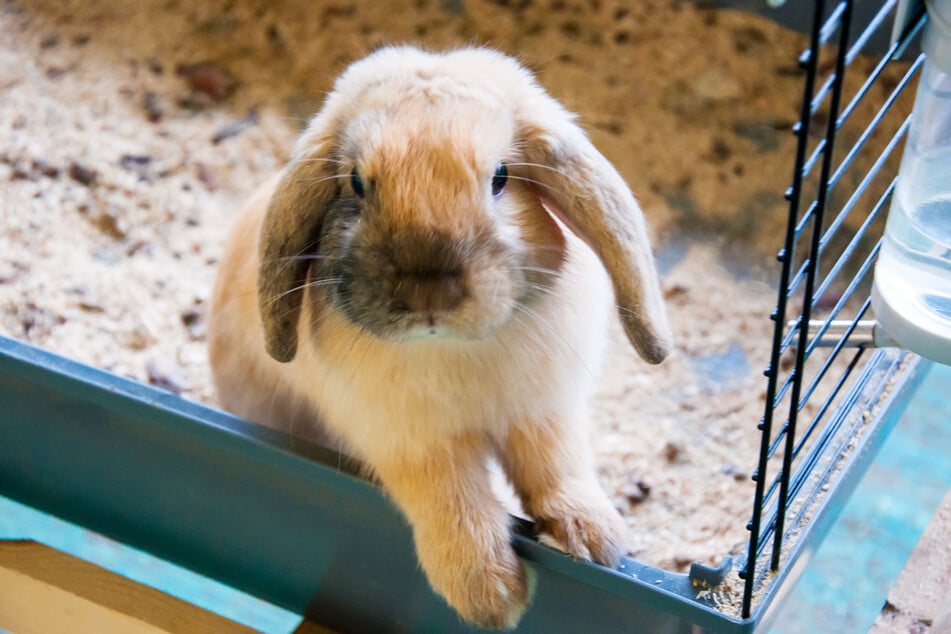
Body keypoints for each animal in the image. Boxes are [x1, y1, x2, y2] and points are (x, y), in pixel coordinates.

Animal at [210, 45, 668, 628]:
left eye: (500, 177)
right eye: (356, 183)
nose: (429, 293)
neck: (452, 348)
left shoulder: (544, 414)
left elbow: (556, 468)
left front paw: (592, 539)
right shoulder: (414, 446)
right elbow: (456, 505)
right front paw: (491, 597)